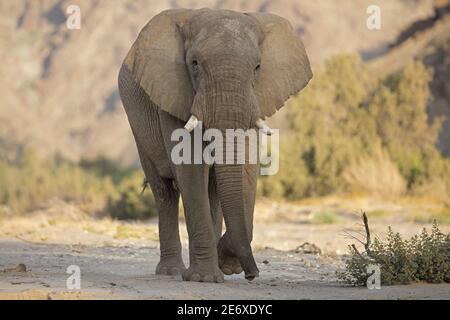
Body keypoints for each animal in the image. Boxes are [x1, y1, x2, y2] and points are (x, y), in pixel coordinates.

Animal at [118, 8, 312, 282]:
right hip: (137, 126)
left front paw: (226, 265)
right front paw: (205, 278)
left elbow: (247, 168)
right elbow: (190, 166)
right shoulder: (173, 93)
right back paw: (171, 272)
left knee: (212, 192)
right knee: (165, 192)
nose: (252, 274)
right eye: (194, 64)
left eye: (258, 67)